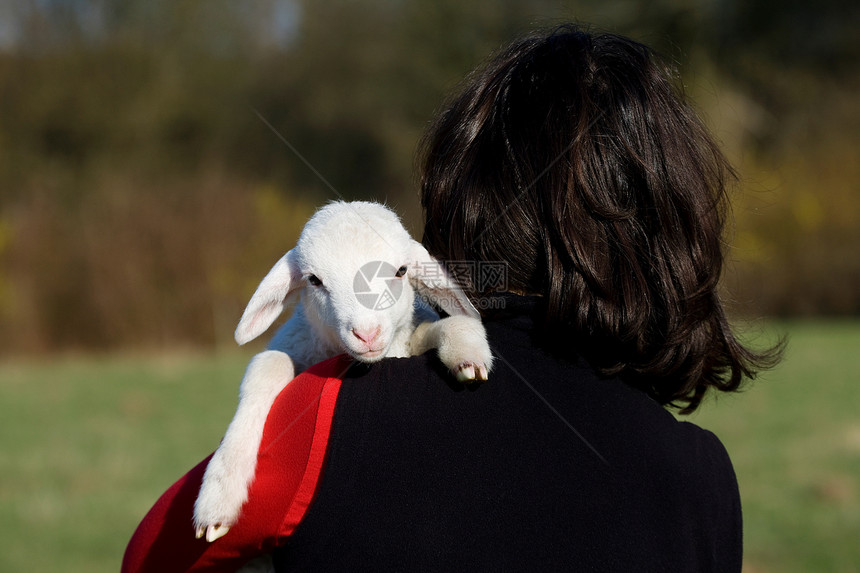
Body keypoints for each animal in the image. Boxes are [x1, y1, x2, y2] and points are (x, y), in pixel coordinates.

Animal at [194, 200, 490, 540]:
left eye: (401, 271)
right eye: (314, 280)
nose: (367, 333)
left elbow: (446, 325)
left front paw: (468, 353)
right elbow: (268, 364)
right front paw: (218, 494)